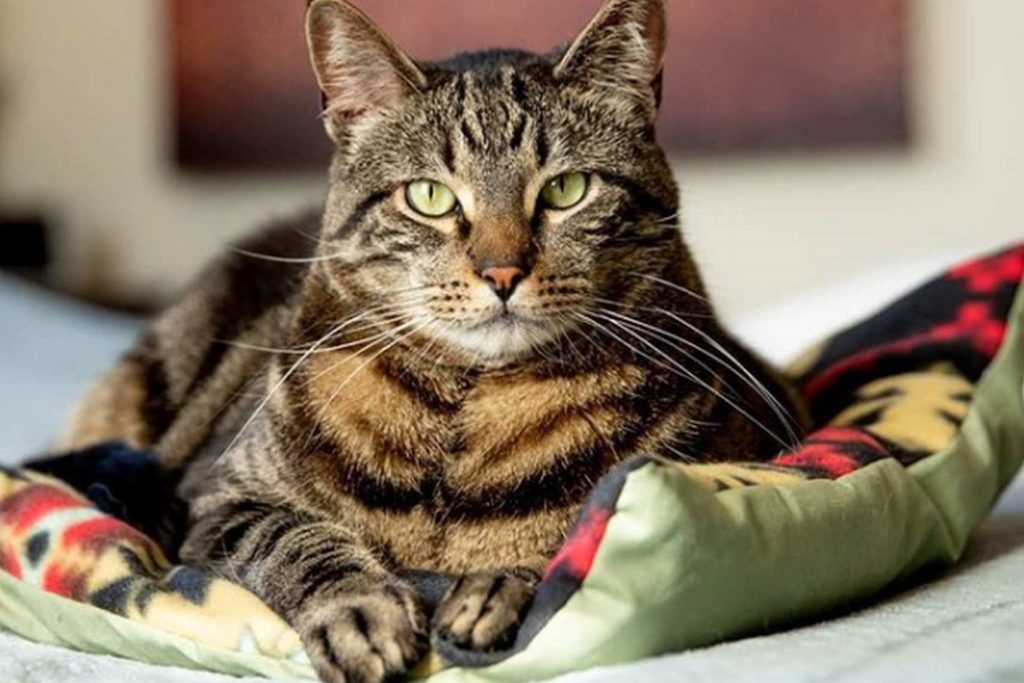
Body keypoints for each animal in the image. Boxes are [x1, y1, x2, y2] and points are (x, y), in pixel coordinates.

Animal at [61, 2, 806, 679]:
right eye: (429, 197)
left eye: (566, 189)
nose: (502, 272)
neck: (464, 416)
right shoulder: (218, 497)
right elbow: (293, 536)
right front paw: (360, 611)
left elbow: (575, 532)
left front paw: (500, 586)